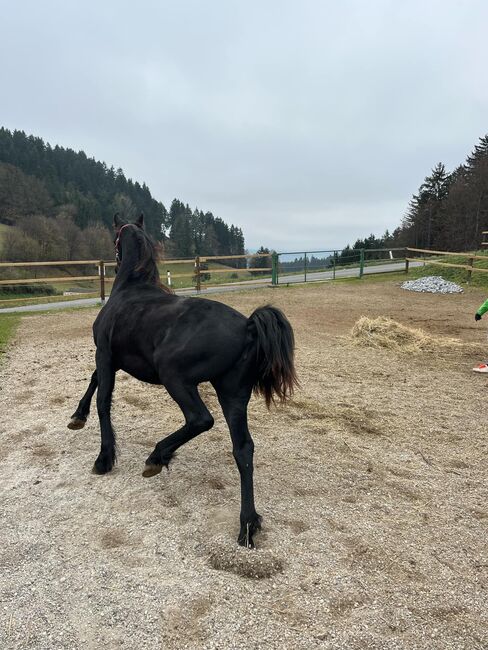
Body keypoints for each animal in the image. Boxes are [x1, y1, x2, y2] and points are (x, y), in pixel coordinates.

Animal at [67, 215, 298, 544]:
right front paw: (77, 417)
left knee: (200, 419)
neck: (130, 290)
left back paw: (156, 457)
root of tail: (248, 327)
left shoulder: (105, 355)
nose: (114, 259)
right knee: (243, 449)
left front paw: (104, 458)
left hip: (175, 378)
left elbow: (103, 402)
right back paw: (248, 524)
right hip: (232, 394)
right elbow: (94, 381)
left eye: (115, 239)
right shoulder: (110, 360)